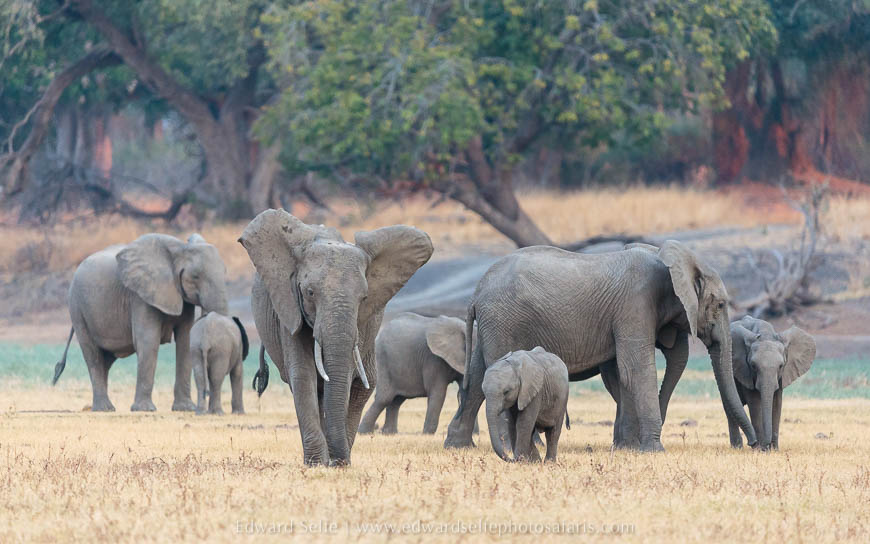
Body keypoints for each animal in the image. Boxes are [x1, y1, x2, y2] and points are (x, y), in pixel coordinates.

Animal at [52, 233, 229, 412]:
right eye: (195, 277)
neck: (180, 248)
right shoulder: (140, 295)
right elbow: (148, 341)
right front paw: (145, 409)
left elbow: (185, 342)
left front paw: (186, 408)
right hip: (77, 308)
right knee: (93, 355)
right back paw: (104, 409)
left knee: (105, 360)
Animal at [240, 209, 433, 466]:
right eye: (310, 292)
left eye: (364, 298)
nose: (337, 461)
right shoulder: (289, 308)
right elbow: (302, 374)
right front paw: (316, 464)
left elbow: (347, 379)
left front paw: (336, 463)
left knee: (360, 388)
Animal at [445, 240, 758, 452]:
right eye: (721, 305)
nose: (753, 444)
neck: (665, 256)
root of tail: (476, 292)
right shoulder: (634, 305)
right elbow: (635, 370)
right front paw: (654, 450)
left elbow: (622, 374)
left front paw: (627, 448)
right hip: (504, 320)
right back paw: (511, 447)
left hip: (493, 323)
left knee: (479, 373)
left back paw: (458, 446)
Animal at [728, 316, 816, 450]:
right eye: (753, 366)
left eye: (780, 366)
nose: (752, 443)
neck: (765, 334)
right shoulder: (745, 371)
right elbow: (755, 402)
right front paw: (760, 450)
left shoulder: (781, 376)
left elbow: (776, 402)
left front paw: (774, 450)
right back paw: (737, 448)